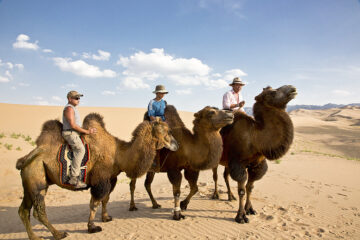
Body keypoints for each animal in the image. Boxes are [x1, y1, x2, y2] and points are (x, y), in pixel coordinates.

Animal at [15, 113, 179, 240]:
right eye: (168, 131)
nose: (177, 145)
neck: (119, 154)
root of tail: (26, 158)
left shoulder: (111, 178)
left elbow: (105, 199)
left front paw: (106, 218)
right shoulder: (100, 180)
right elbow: (94, 203)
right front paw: (92, 227)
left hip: (29, 183)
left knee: (23, 210)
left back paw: (35, 237)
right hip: (37, 179)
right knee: (39, 211)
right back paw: (59, 234)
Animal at [212, 85, 296, 223]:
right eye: (273, 93)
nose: (292, 88)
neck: (255, 138)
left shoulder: (257, 165)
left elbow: (250, 187)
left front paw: (250, 209)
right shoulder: (238, 164)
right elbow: (242, 190)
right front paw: (241, 216)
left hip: (227, 161)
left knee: (225, 175)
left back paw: (230, 196)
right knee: (215, 176)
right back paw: (215, 195)